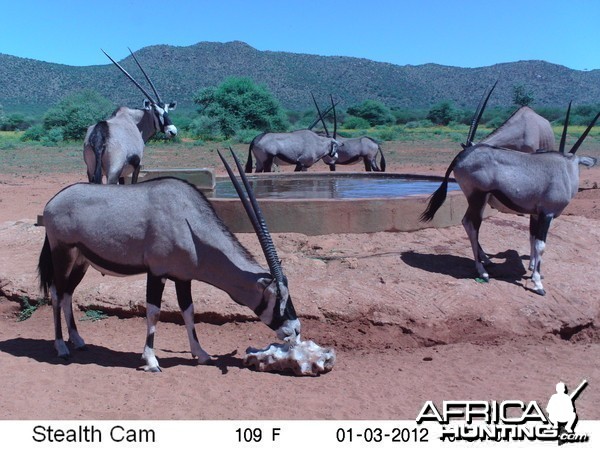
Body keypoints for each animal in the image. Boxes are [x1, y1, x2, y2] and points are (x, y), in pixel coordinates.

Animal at [38, 149, 300, 370]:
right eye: (278, 299)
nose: (296, 331)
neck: (189, 222)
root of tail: (52, 203)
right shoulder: (157, 272)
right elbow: (154, 312)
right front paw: (151, 360)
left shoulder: (183, 278)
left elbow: (189, 311)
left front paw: (201, 354)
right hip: (62, 254)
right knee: (56, 293)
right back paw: (61, 347)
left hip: (80, 261)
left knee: (67, 294)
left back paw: (77, 340)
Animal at [84, 48, 178, 184]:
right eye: (156, 112)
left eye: (166, 110)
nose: (172, 131)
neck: (134, 121)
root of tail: (100, 133)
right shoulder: (137, 166)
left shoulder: (122, 174)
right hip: (112, 173)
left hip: (91, 171)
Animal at [420, 91, 596, 296]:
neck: (566, 167)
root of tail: (461, 156)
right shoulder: (546, 214)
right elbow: (541, 245)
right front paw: (537, 284)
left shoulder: (536, 214)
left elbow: (533, 239)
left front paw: (535, 272)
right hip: (478, 197)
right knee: (471, 224)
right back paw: (483, 271)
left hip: (478, 200)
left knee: (468, 223)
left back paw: (486, 263)